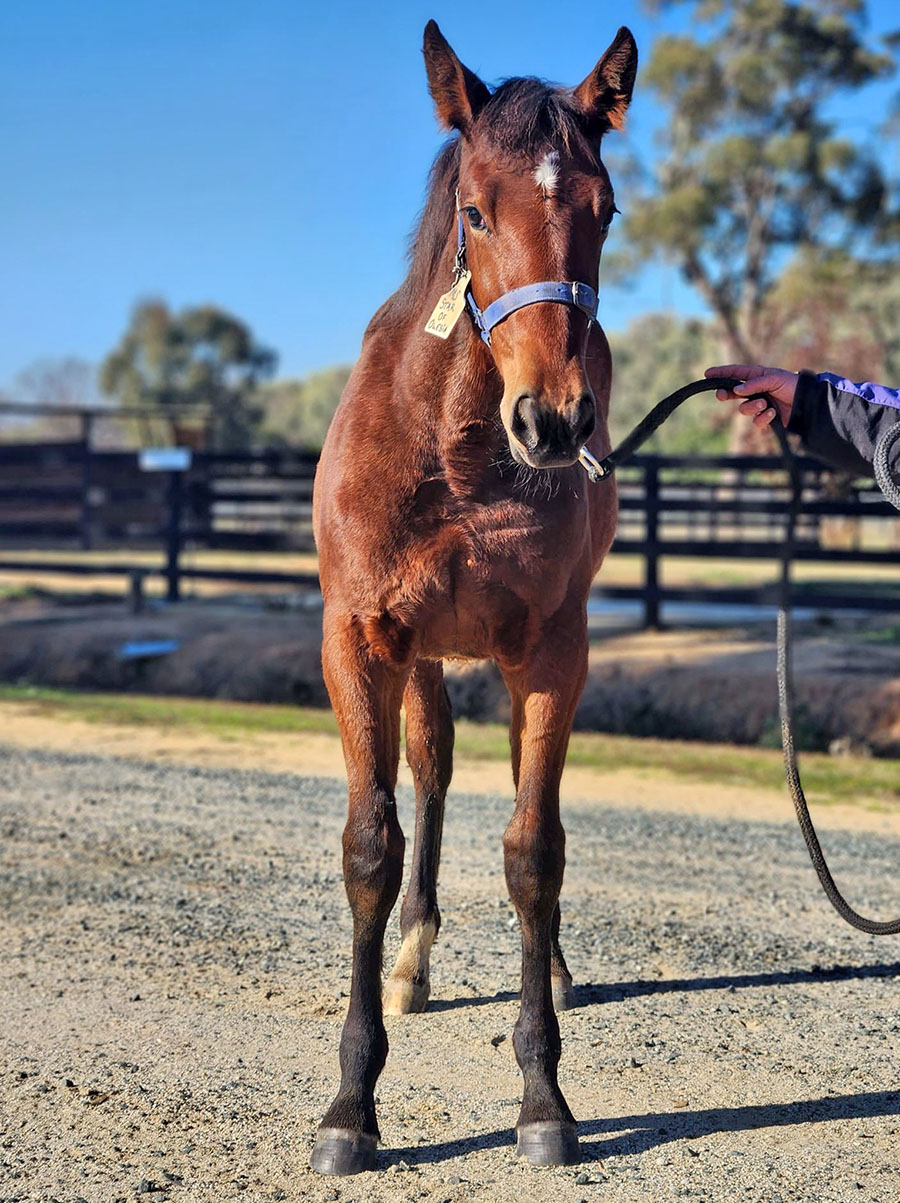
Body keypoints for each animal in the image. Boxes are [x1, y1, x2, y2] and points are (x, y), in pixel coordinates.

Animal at [310, 20, 638, 1175]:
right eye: (476, 209)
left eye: (603, 207)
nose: (556, 420)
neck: (455, 457)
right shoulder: (362, 641)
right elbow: (373, 846)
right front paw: (350, 1107)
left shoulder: (550, 653)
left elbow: (534, 853)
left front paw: (545, 1098)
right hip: (420, 660)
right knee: (434, 779)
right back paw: (410, 962)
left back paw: (562, 969)